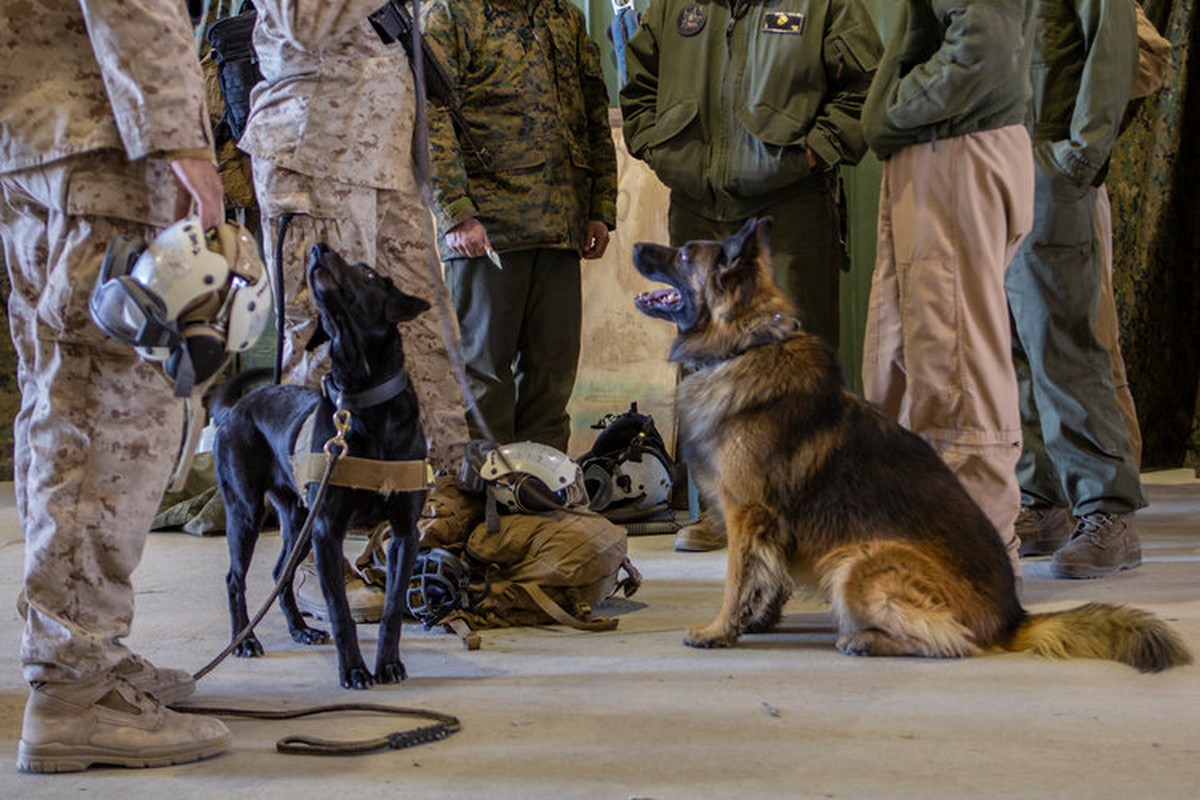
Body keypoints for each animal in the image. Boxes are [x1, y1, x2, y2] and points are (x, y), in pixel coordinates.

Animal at [211, 244, 432, 690]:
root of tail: (235, 409)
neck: (364, 398)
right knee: (234, 578)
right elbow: (340, 610)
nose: (318, 248)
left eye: (367, 274)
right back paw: (245, 640)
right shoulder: (327, 530)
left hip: (298, 521)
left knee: (279, 572)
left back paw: (300, 629)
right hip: (247, 512)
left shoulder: (404, 532)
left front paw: (388, 664)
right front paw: (354, 670)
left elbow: (392, 608)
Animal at [633, 217, 1195, 671]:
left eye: (684, 254)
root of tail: (1013, 617)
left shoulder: (746, 512)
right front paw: (757, 620)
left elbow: (736, 579)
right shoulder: (769, 524)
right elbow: (769, 578)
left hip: (859, 563)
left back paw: (865, 640)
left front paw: (719, 629)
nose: (636, 246)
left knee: (953, 641)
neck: (746, 345)